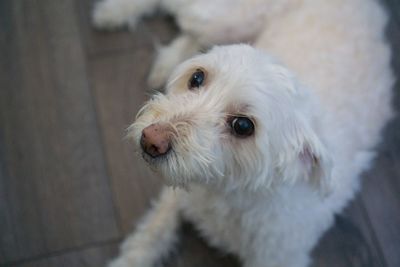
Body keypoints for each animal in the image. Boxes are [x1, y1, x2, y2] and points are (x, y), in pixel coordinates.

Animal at [93, 0, 394, 267]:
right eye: (197, 78)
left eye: (243, 126)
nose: (151, 139)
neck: (228, 191)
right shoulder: (179, 194)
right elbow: (151, 233)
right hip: (225, 18)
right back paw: (113, 12)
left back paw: (165, 59)